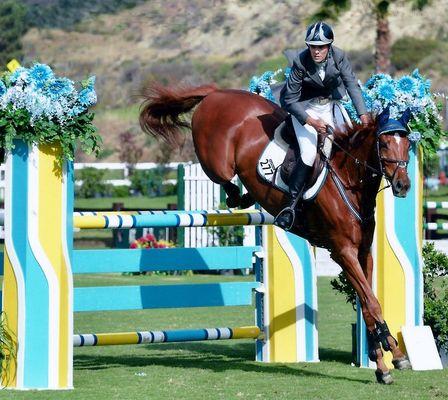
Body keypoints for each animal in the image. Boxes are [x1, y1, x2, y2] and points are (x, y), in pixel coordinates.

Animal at [139, 83, 412, 384]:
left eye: (408, 144)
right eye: (384, 144)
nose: (403, 186)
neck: (349, 180)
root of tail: (217, 93)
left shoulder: (363, 253)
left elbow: (368, 303)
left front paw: (384, 362)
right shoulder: (343, 252)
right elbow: (371, 303)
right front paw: (394, 354)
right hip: (216, 159)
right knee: (223, 178)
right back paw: (241, 197)